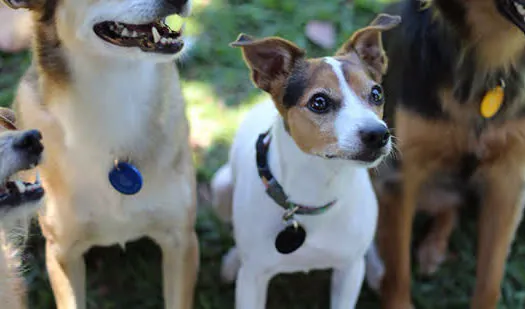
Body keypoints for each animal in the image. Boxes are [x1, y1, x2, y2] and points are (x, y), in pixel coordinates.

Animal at [211, 13, 400, 308]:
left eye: (376, 94)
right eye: (319, 102)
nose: (378, 134)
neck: (318, 187)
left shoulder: (348, 272)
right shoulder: (252, 280)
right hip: (219, 187)